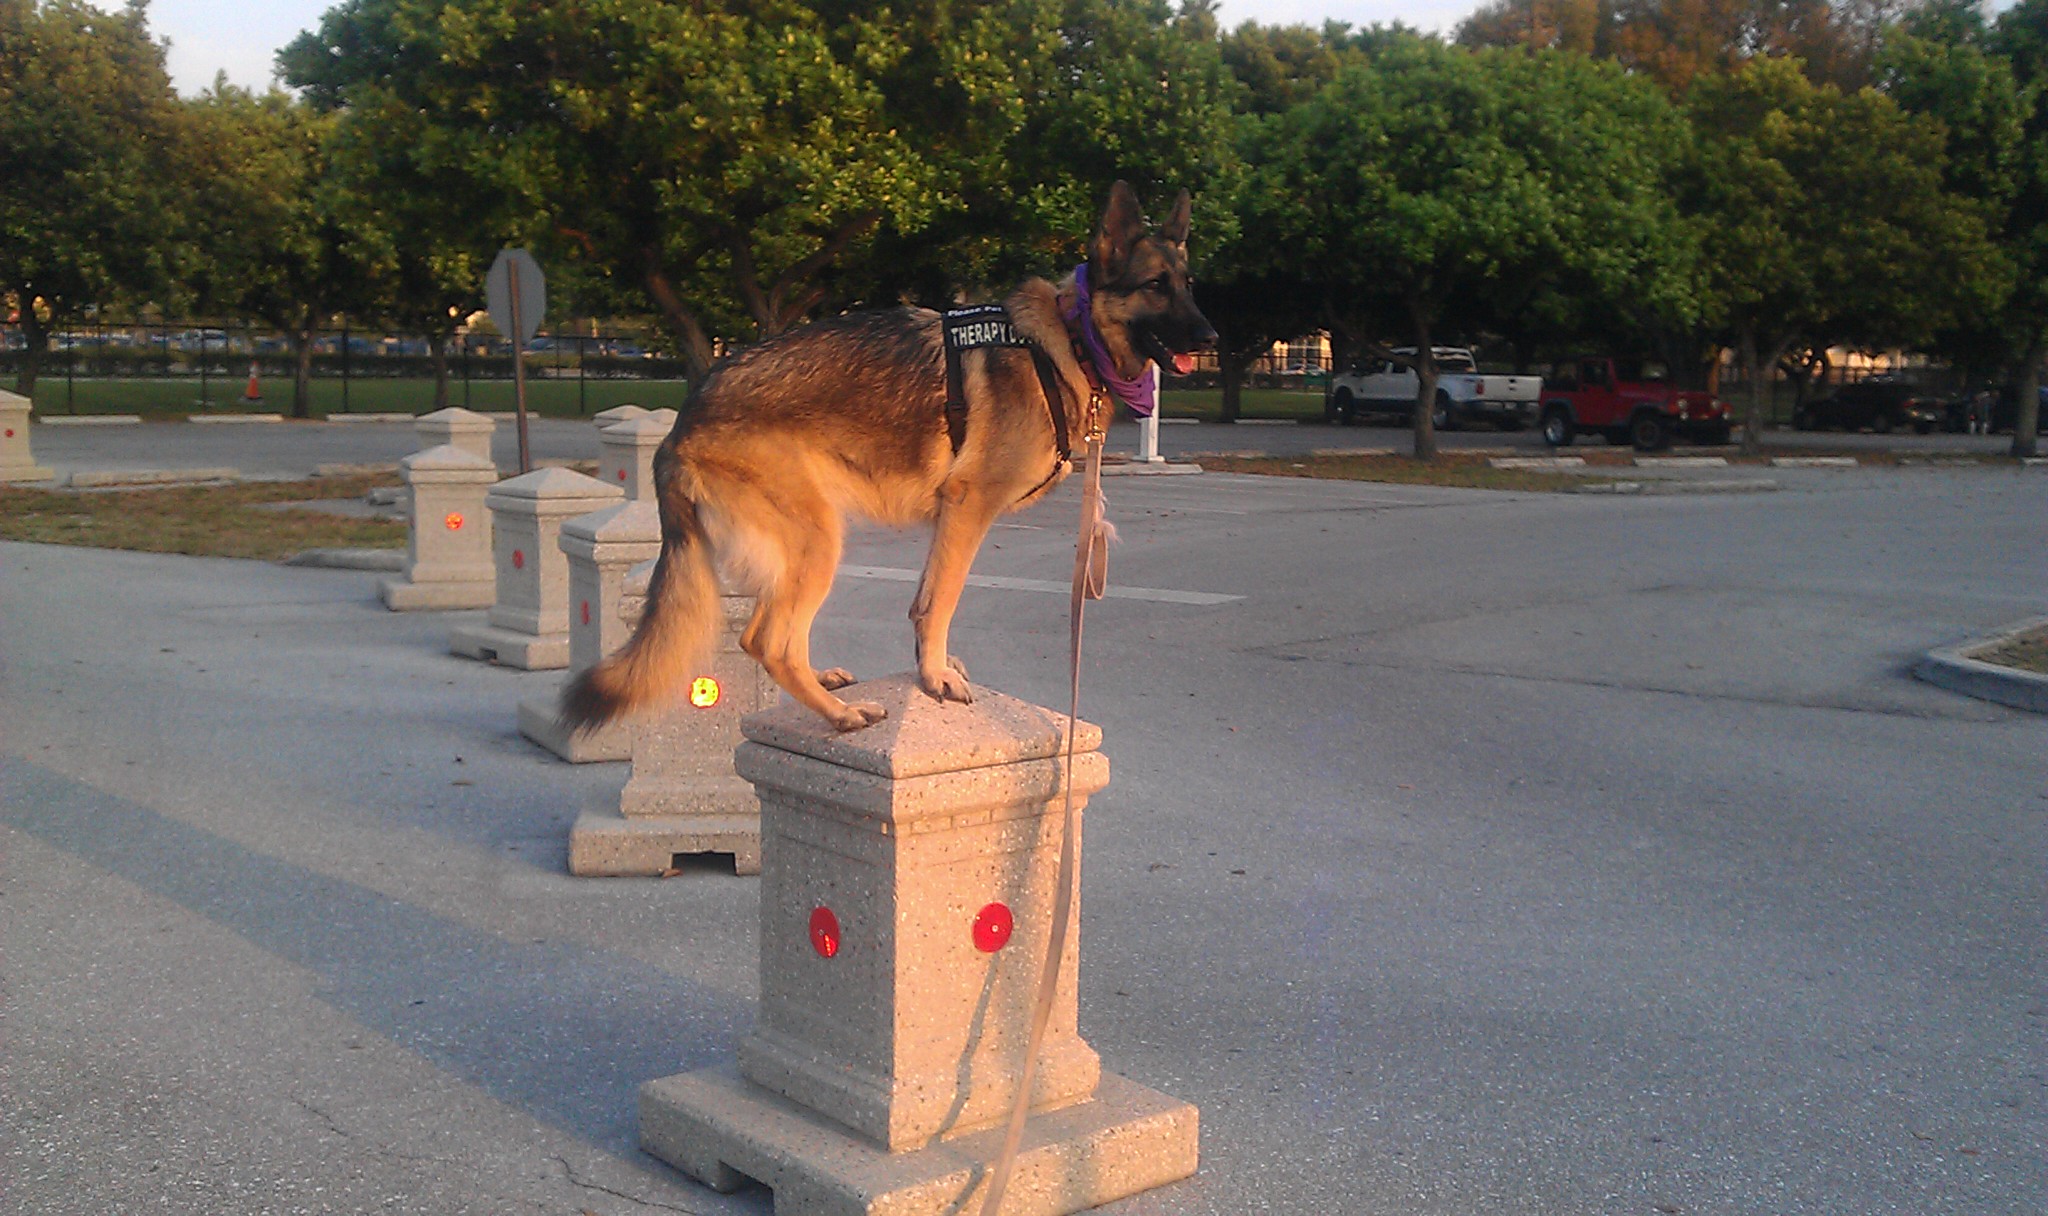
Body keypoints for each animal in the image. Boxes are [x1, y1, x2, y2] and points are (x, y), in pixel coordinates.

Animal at [552, 180, 1204, 728]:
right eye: (1155, 286)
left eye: (1188, 285)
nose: (1212, 336)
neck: (1068, 339)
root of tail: (683, 420)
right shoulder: (968, 509)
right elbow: (943, 600)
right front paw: (935, 677)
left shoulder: (947, 519)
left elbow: (923, 602)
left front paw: (927, 668)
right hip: (818, 539)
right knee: (766, 640)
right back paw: (839, 717)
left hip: (802, 544)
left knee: (770, 633)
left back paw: (822, 685)